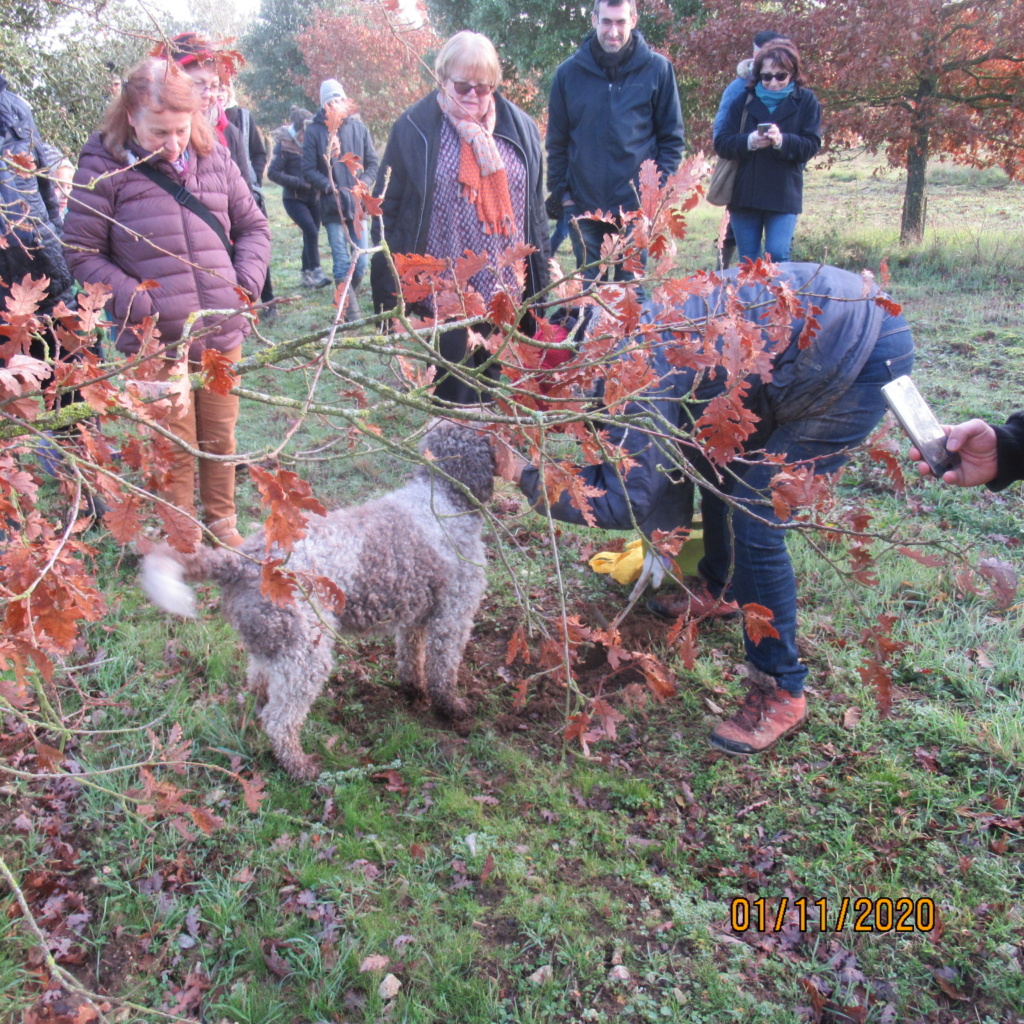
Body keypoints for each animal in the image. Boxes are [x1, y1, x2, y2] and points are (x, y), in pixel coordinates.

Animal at [141, 419, 495, 778]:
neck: (445, 497)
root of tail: (243, 561)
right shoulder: (453, 616)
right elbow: (442, 672)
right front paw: (453, 709)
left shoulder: (416, 617)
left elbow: (411, 660)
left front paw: (414, 692)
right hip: (305, 654)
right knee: (279, 721)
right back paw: (302, 768)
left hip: (270, 643)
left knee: (259, 690)